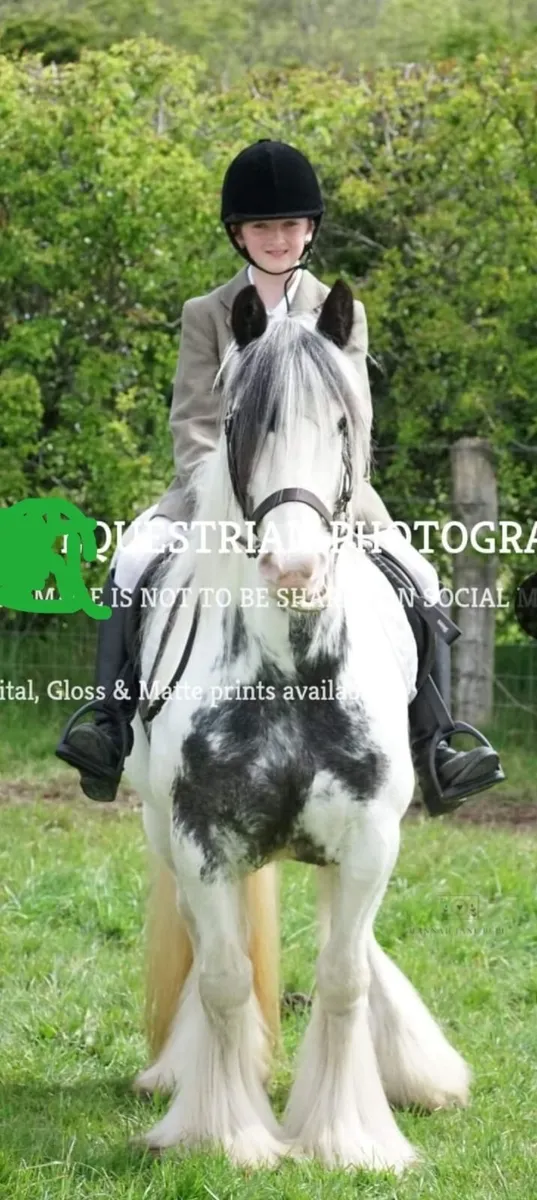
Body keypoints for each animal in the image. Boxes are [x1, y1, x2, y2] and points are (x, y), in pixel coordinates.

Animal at [124, 281, 470, 1171]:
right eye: (239, 423)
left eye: (344, 422)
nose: (294, 569)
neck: (291, 668)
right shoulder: (201, 837)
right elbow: (220, 977)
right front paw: (224, 1134)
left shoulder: (370, 836)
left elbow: (344, 977)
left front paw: (348, 1137)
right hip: (161, 832)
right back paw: (189, 1073)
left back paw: (414, 1072)